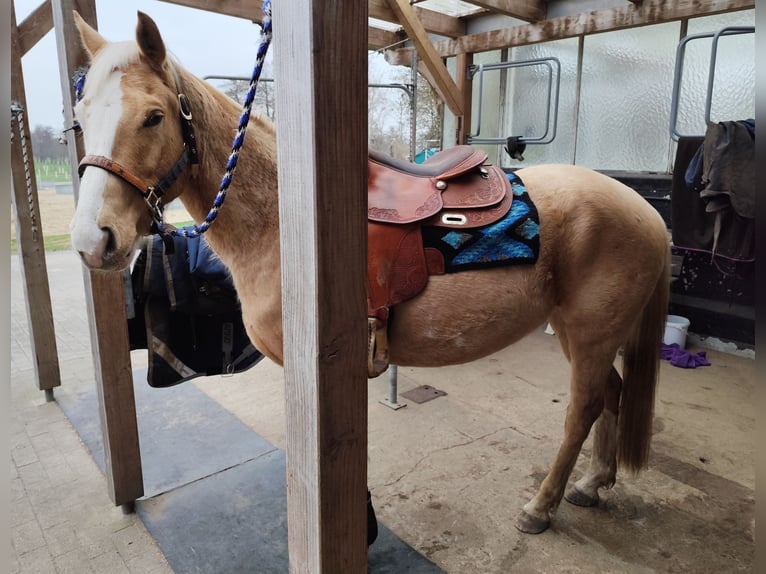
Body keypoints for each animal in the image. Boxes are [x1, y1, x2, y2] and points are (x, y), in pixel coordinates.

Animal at [69, 11, 670, 535]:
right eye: (80, 117)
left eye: (153, 116)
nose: (91, 241)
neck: (283, 220)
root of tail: (646, 211)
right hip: (577, 332)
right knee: (611, 394)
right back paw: (592, 483)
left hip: (591, 334)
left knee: (583, 409)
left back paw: (541, 506)